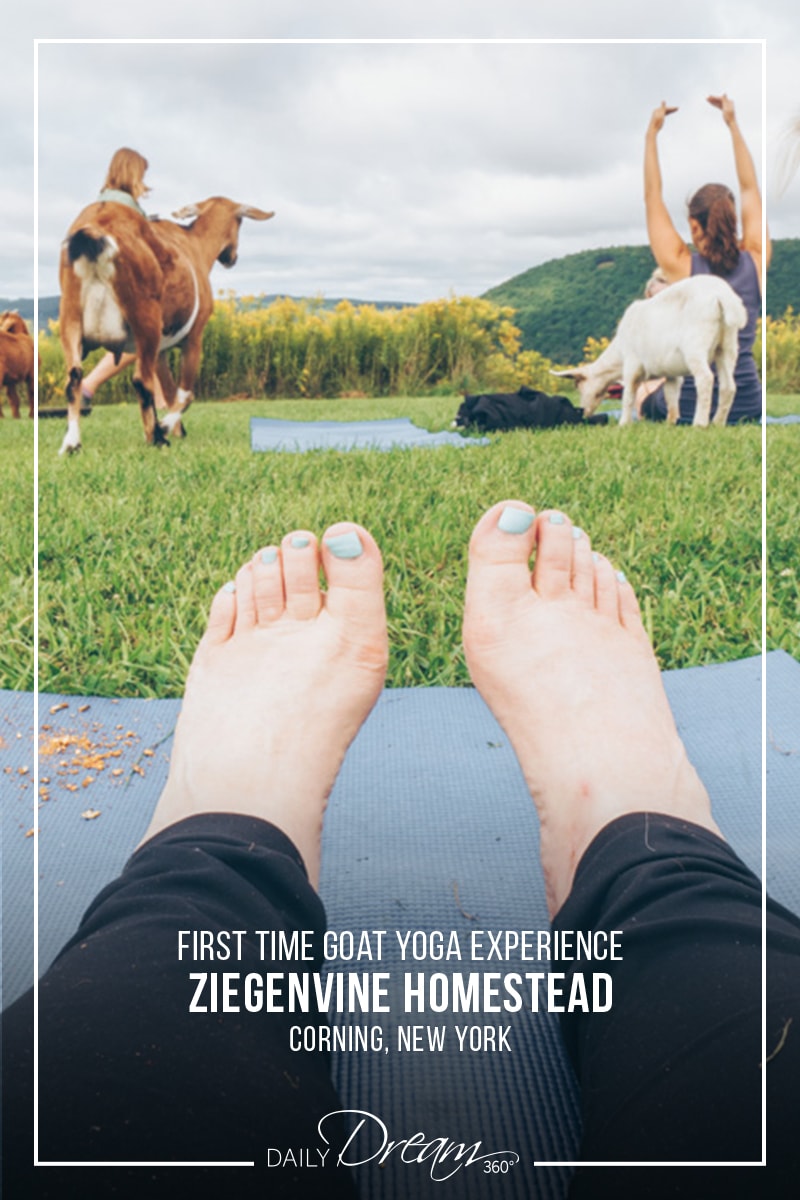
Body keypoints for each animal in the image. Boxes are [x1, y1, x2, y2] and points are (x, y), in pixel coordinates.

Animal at [57, 196, 273, 451]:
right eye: (240, 221)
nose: (232, 258)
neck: (195, 243)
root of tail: (95, 229)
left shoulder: (160, 349)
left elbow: (169, 392)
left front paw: (176, 430)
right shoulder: (194, 337)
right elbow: (185, 395)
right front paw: (164, 428)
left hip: (70, 318)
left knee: (73, 378)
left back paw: (72, 442)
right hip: (145, 318)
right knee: (141, 381)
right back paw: (157, 439)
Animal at [554, 274, 748, 427]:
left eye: (578, 386)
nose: (584, 413)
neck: (617, 357)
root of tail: (722, 295)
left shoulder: (631, 362)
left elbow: (628, 395)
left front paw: (624, 424)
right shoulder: (671, 374)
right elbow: (671, 397)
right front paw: (671, 422)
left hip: (696, 344)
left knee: (705, 379)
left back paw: (700, 423)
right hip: (727, 345)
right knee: (728, 386)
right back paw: (718, 422)